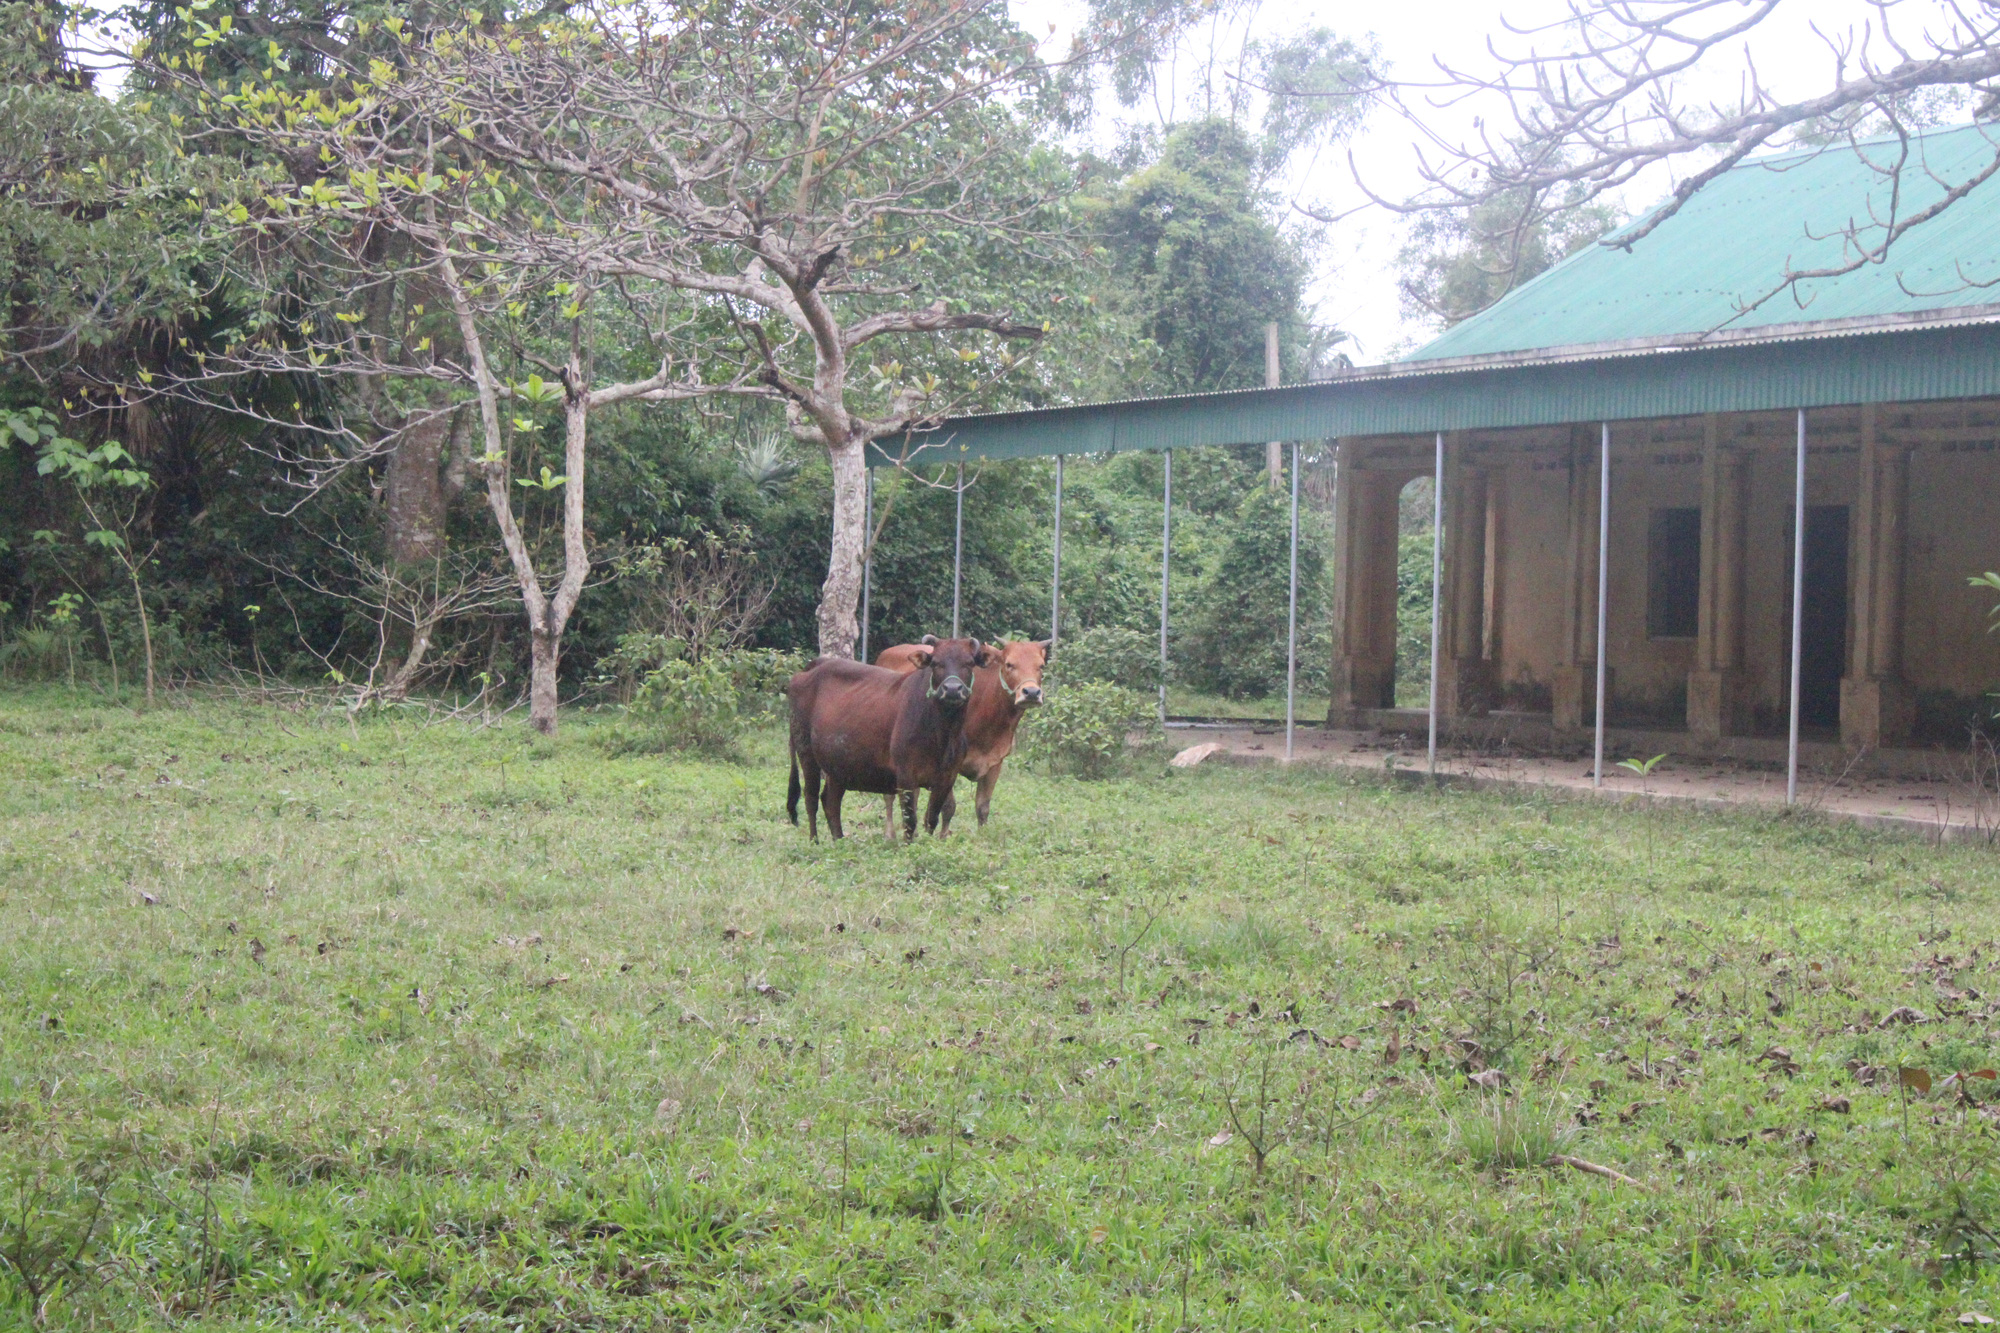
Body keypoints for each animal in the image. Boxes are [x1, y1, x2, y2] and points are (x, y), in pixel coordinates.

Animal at [788, 636, 992, 840]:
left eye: (969, 663)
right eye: (935, 663)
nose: (952, 689)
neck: (942, 735)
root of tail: (814, 665)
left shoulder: (947, 778)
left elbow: (932, 819)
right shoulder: (905, 776)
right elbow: (910, 821)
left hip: (837, 765)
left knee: (830, 801)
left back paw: (839, 839)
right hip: (806, 752)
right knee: (811, 798)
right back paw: (815, 841)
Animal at [884, 632, 1056, 820]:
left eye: (1041, 666)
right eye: (1009, 664)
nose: (1031, 693)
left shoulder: (995, 763)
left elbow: (983, 808)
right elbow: (948, 807)